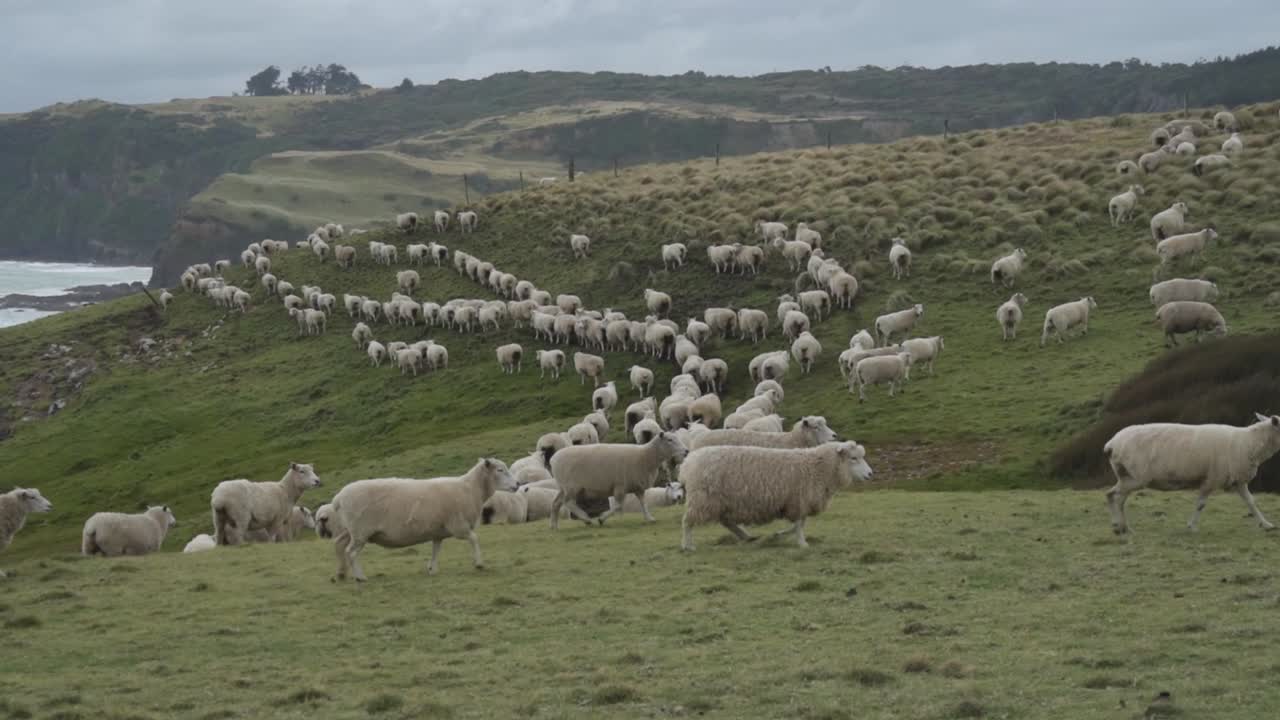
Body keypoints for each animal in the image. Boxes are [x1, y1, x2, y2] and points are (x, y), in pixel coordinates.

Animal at [331, 458, 515, 581]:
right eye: (500, 470)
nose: (517, 485)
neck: (470, 490)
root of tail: (339, 496)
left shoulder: (439, 531)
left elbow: (436, 549)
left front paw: (432, 568)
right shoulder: (458, 526)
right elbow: (474, 539)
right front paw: (479, 563)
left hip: (350, 530)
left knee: (339, 545)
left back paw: (341, 573)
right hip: (360, 532)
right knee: (351, 552)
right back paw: (360, 577)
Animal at [549, 433, 688, 527]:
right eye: (670, 440)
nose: (686, 451)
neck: (645, 456)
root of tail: (553, 458)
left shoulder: (638, 487)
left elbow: (643, 504)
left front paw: (649, 518)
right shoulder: (620, 486)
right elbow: (618, 506)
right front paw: (601, 519)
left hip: (563, 487)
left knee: (556, 503)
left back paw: (554, 526)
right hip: (572, 487)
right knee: (569, 503)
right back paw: (586, 519)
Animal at [679, 441, 872, 550]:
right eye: (853, 458)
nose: (870, 474)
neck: (818, 468)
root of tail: (688, 463)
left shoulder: (798, 502)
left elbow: (797, 524)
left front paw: (780, 535)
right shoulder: (798, 500)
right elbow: (799, 525)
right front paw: (802, 543)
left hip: (720, 501)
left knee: (727, 522)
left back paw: (746, 536)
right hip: (702, 499)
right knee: (688, 522)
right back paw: (688, 546)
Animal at [1103, 413, 1280, 535]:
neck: (1248, 442)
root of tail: (1111, 444)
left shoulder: (1238, 481)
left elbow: (1251, 502)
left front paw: (1266, 525)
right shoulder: (1212, 479)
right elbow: (1200, 504)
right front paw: (1192, 527)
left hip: (1126, 476)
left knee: (1116, 497)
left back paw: (1122, 527)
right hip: (1136, 477)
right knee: (1113, 496)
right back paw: (1119, 526)